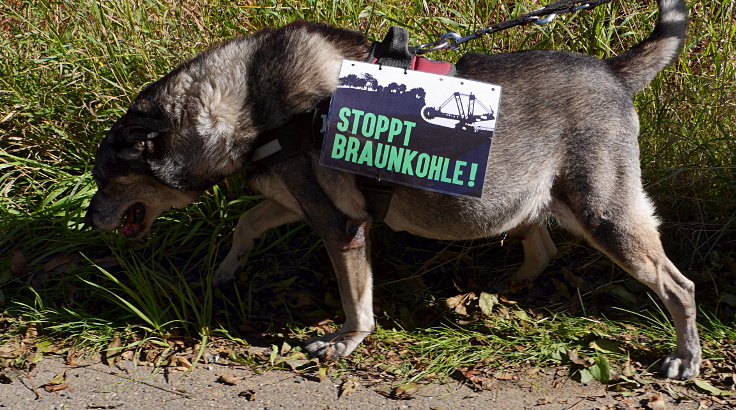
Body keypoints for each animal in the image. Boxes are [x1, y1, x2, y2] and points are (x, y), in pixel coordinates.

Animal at [86, 0, 700, 382]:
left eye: (106, 179)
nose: (89, 222)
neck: (247, 105)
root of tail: (614, 72)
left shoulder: (341, 227)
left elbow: (357, 302)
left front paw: (343, 343)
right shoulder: (293, 203)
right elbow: (245, 225)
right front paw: (225, 272)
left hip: (604, 217)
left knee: (679, 286)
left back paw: (685, 358)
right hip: (540, 205)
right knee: (544, 247)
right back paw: (505, 290)